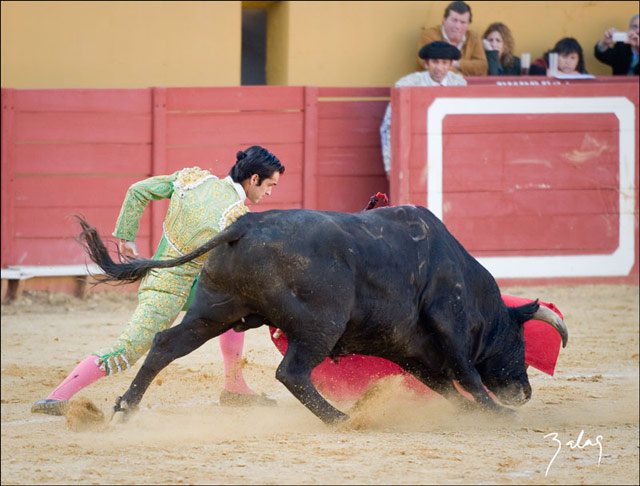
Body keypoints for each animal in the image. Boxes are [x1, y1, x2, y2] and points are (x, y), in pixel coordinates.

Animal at [76, 207, 568, 424]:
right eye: (520, 343)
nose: (524, 394)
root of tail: (244, 225)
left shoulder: (411, 352)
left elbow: (445, 384)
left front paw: (471, 412)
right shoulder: (449, 328)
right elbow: (467, 373)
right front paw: (495, 414)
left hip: (215, 311)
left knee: (165, 345)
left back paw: (124, 408)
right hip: (320, 325)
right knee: (292, 372)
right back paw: (343, 419)